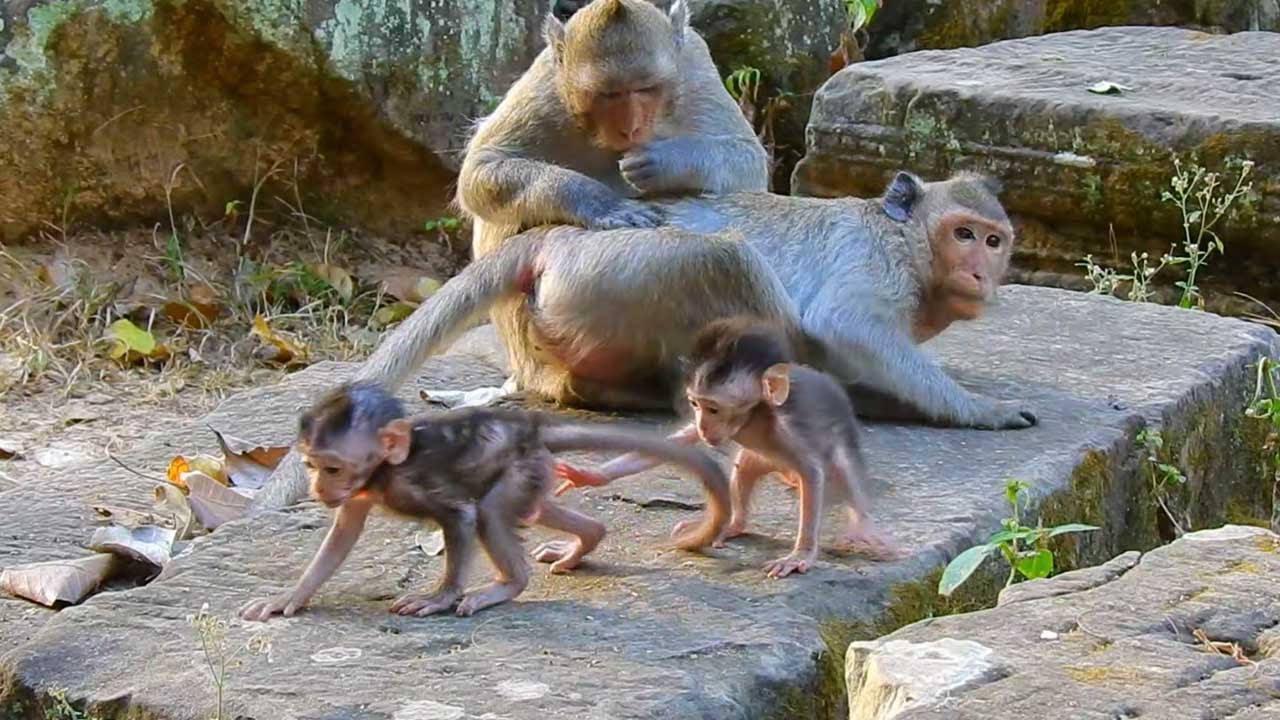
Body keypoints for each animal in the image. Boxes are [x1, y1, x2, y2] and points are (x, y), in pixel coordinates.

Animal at [239, 382, 730, 620]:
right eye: (311, 466)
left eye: (333, 468)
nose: (318, 489)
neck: (386, 468)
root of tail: (530, 427)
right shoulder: (362, 492)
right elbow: (343, 533)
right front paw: (289, 597)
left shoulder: (415, 479)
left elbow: (461, 516)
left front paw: (439, 597)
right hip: (535, 469)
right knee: (537, 507)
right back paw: (586, 539)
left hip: (520, 468)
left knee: (491, 512)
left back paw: (509, 585)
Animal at [253, 171, 1034, 510]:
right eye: (963, 233)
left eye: (994, 240)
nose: (979, 269)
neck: (908, 239)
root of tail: (553, 235)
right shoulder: (875, 263)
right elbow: (850, 323)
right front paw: (981, 411)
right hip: (623, 269)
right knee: (732, 263)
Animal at [554, 317, 894, 578]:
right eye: (695, 405)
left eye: (714, 409)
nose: (704, 426)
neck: (754, 418)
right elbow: (671, 444)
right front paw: (586, 475)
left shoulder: (787, 432)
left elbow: (812, 473)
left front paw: (800, 555)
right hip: (760, 459)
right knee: (743, 470)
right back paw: (733, 524)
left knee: (840, 469)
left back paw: (862, 525)